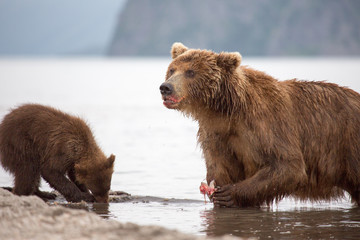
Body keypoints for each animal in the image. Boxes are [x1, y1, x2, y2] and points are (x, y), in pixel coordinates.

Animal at [161, 42, 360, 207]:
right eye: (172, 69)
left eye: (191, 72)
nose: (166, 87)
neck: (225, 110)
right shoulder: (215, 132)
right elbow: (220, 165)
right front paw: (216, 190)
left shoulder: (265, 124)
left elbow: (287, 165)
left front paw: (229, 194)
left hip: (348, 144)